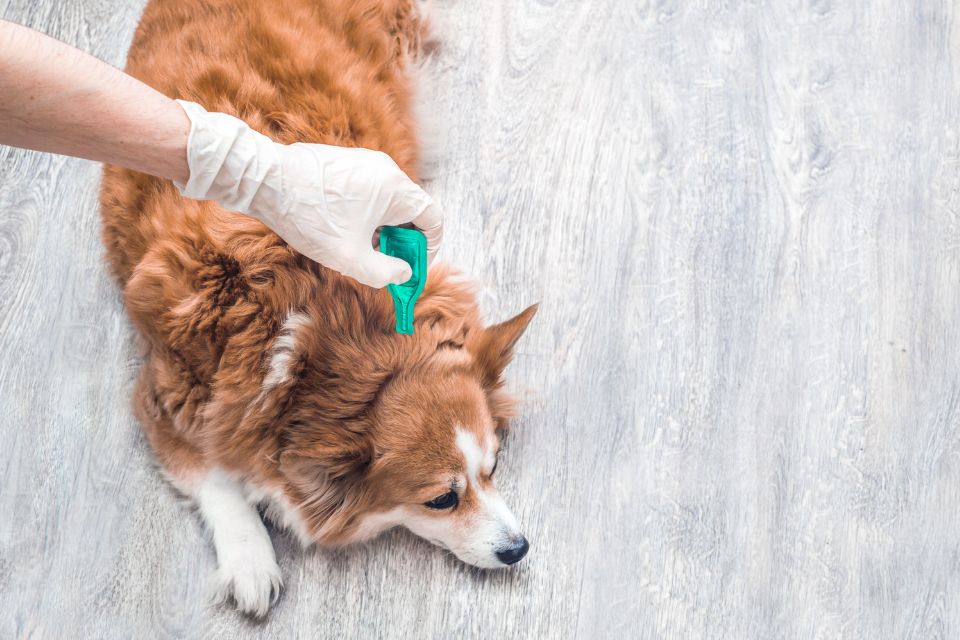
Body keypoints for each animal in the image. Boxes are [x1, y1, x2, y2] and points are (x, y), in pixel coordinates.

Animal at [100, 0, 536, 616]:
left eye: (493, 469)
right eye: (442, 500)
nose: (519, 548)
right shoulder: (164, 395)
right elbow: (215, 476)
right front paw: (251, 561)